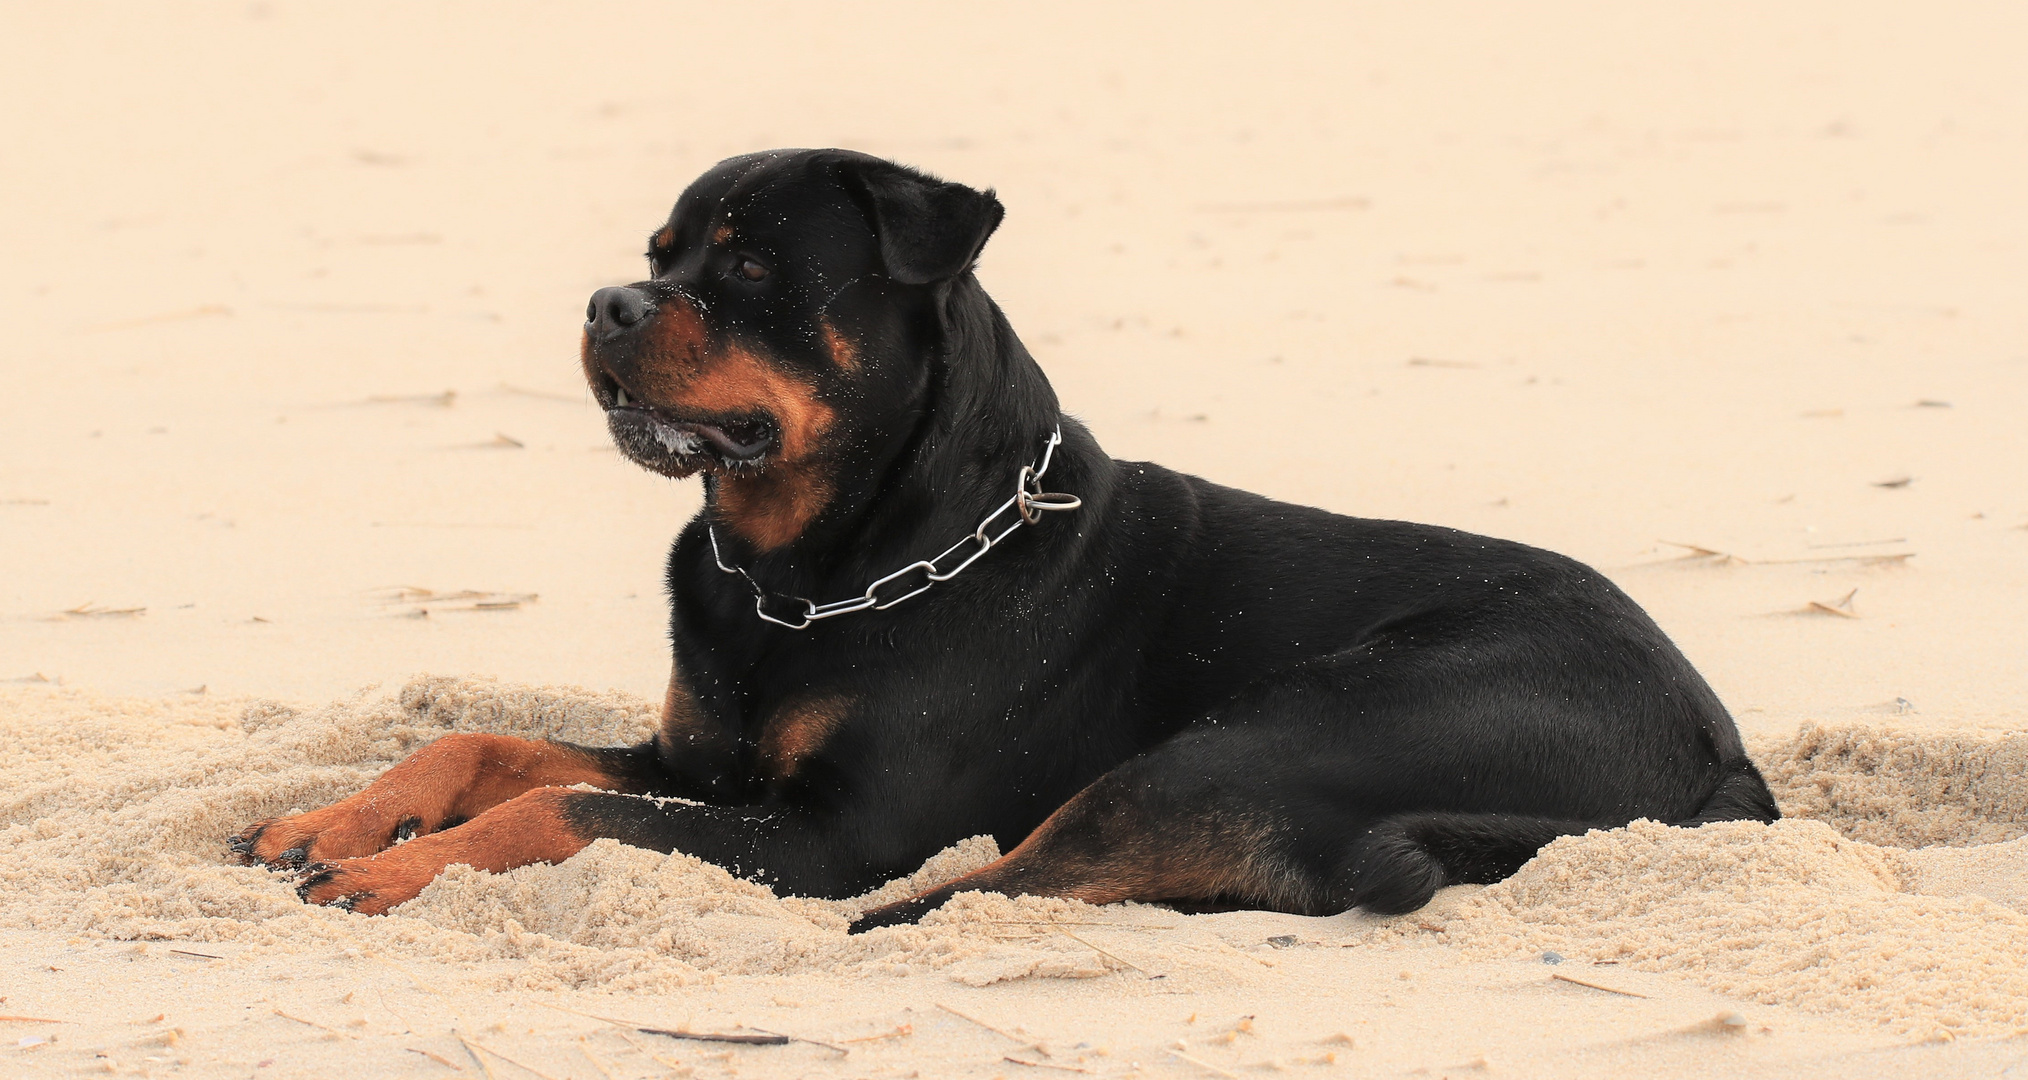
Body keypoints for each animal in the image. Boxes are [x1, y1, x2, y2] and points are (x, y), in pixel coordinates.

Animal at [233, 149, 1776, 928]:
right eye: (659, 253)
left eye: (750, 266)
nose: (611, 303)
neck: (811, 574)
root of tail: (1722, 751)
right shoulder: (705, 760)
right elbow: (486, 744)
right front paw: (335, 818)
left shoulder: (835, 829)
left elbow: (562, 807)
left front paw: (387, 868)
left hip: (1299, 719)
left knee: (1013, 875)